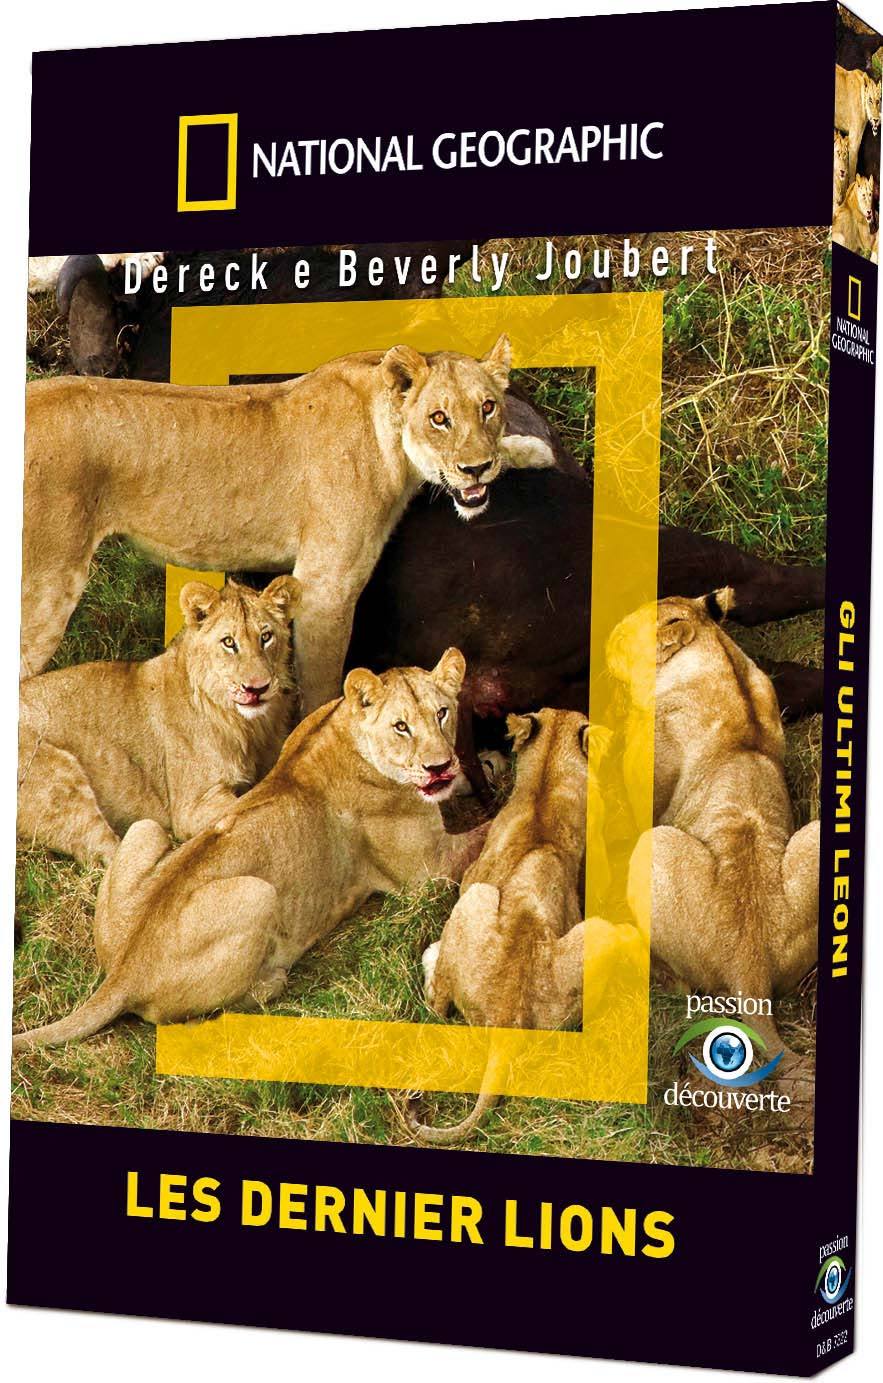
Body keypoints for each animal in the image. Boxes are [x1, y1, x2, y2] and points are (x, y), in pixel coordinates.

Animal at [12, 651, 490, 1050]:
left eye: (442, 713)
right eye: (401, 726)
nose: (439, 767)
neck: (343, 726)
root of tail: (124, 971)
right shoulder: (427, 872)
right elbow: (483, 838)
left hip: (145, 832)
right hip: (259, 893)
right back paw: (273, 980)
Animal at [17, 576, 299, 866]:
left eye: (266, 637)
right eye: (229, 642)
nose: (257, 688)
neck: (248, 727)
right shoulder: (191, 807)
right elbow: (250, 803)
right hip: (61, 781)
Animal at [21, 336, 552, 712]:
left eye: (488, 407)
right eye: (438, 418)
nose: (474, 469)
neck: (390, 441)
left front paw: (529, 451)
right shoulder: (326, 586)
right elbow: (323, 685)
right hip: (47, 588)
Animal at [406, 708, 643, 1144]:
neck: (547, 779)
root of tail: (507, 1022)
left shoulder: (474, 874)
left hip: (476, 897)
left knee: (437, 1001)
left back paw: (430, 959)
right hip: (595, 934)